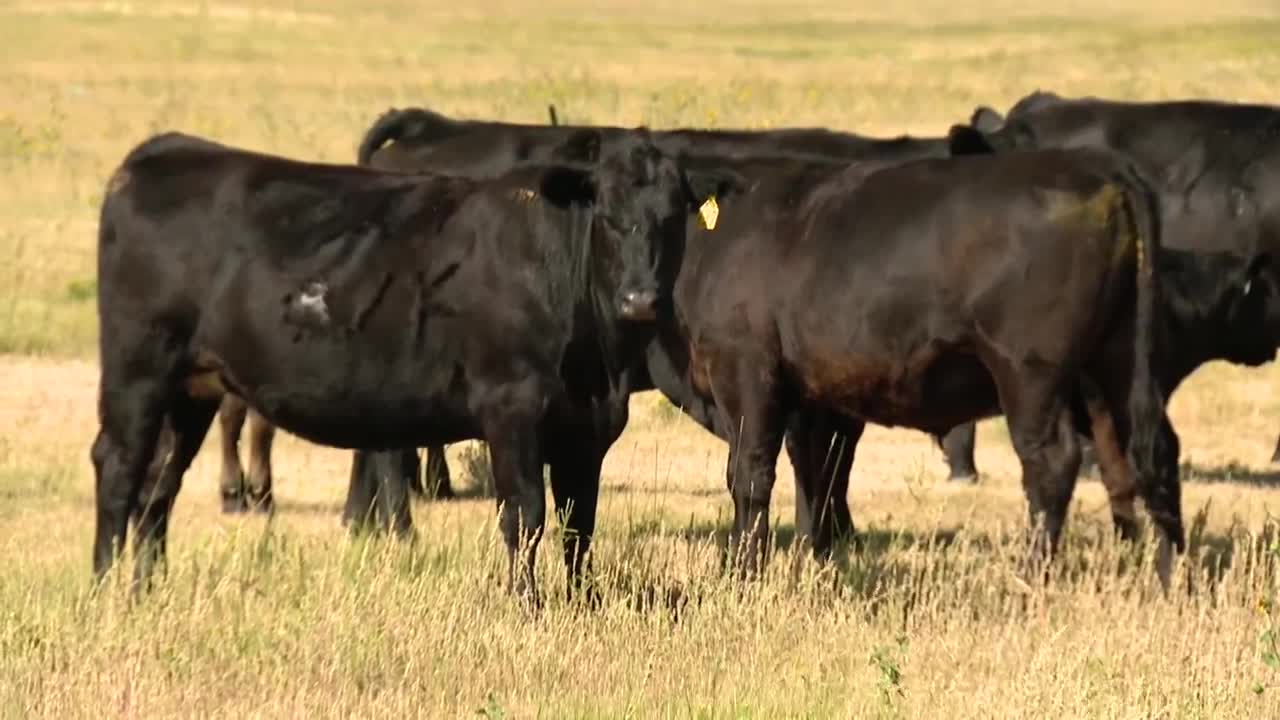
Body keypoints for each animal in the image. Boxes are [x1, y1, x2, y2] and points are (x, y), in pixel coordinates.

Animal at [90, 129, 722, 605]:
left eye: (673, 218)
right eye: (609, 217)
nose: (640, 299)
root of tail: (163, 151)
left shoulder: (586, 427)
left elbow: (578, 522)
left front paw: (582, 602)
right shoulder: (511, 405)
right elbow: (526, 514)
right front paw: (528, 605)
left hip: (190, 387)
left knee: (159, 482)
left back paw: (147, 591)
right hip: (138, 369)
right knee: (119, 468)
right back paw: (103, 590)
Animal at [657, 142, 1276, 586]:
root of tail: (1096, 164)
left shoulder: (746, 371)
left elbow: (751, 473)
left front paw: (743, 574)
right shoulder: (815, 396)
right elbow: (819, 479)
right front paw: (820, 562)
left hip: (1030, 371)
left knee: (1052, 462)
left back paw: (1031, 578)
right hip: (1119, 361)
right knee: (1155, 454)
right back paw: (1172, 578)